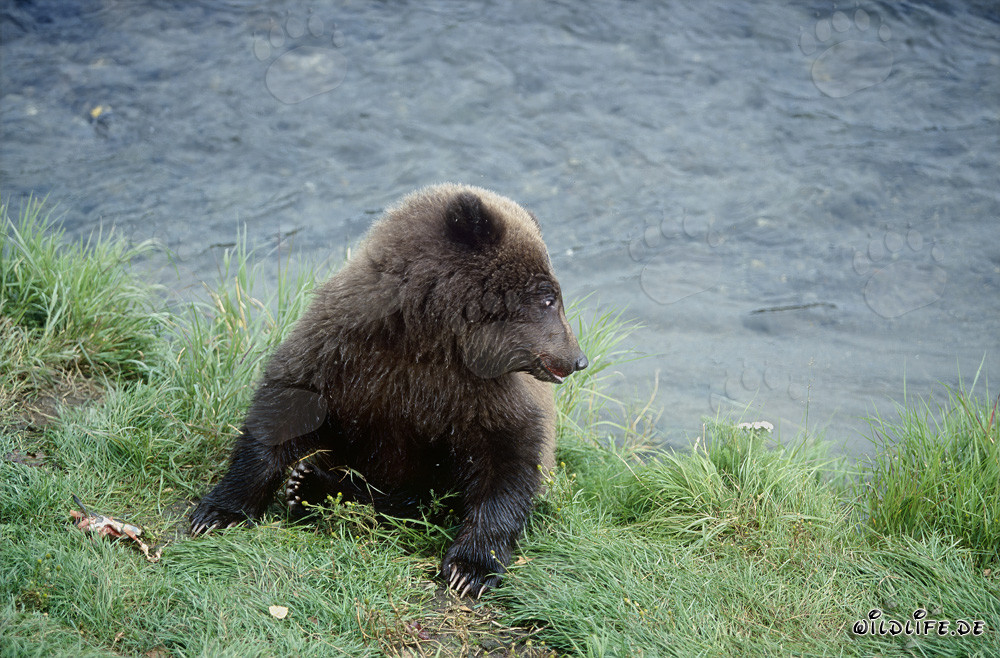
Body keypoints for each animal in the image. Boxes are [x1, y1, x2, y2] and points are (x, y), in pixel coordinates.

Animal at [189, 183, 588, 597]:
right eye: (548, 297)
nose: (579, 359)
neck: (426, 336)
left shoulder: (481, 395)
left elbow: (509, 461)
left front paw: (470, 569)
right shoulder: (341, 351)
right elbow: (284, 409)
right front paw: (217, 511)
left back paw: (312, 487)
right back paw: (307, 486)